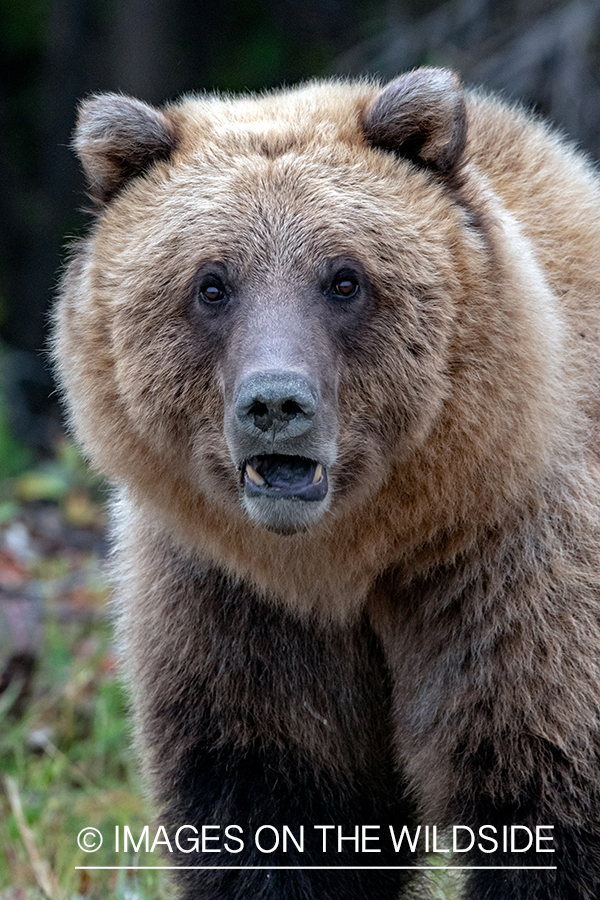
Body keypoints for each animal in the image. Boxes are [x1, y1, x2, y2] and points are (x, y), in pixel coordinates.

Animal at [54, 67, 600, 896]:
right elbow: (273, 809)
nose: (276, 403)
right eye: (212, 284)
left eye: (344, 279)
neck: (352, 557)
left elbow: (548, 791)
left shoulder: (508, 570)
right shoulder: (234, 608)